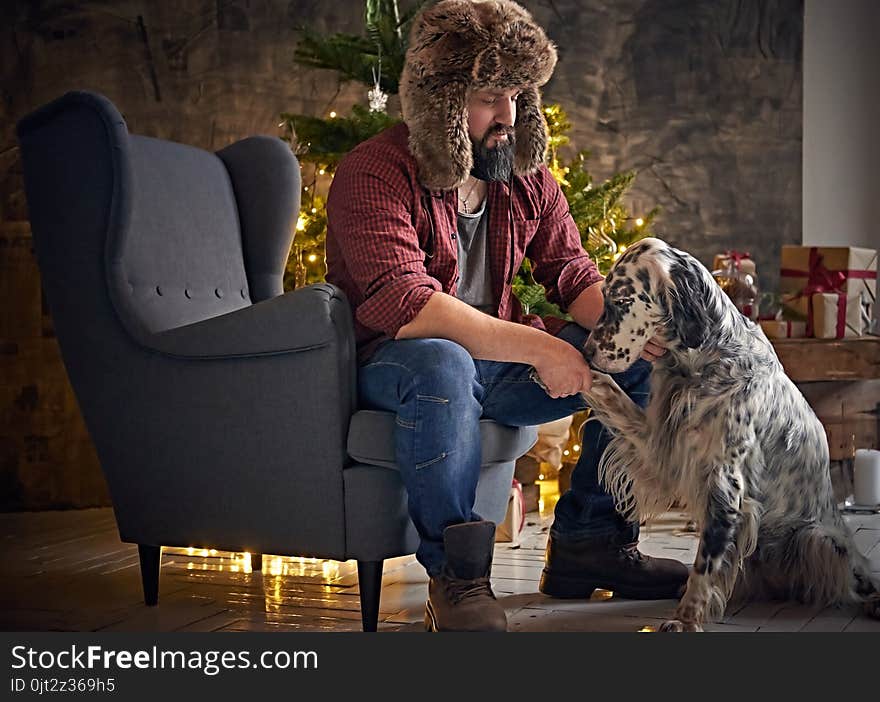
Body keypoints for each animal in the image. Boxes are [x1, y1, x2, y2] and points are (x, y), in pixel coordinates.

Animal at [580, 236, 876, 632]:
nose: (587, 352)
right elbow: (615, 402)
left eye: (622, 300)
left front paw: (686, 618)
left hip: (820, 540)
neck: (700, 364)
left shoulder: (725, 483)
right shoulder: (661, 448)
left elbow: (705, 564)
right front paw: (575, 375)